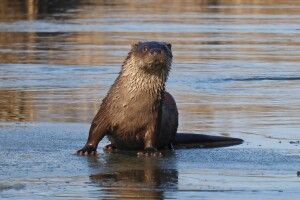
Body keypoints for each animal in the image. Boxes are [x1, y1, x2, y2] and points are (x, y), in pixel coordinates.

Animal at [77, 40, 244, 156]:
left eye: (164, 48)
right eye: (145, 48)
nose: (156, 51)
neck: (132, 104)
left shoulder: (154, 117)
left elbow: (151, 135)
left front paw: (150, 151)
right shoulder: (106, 111)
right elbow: (95, 130)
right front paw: (86, 150)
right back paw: (111, 146)